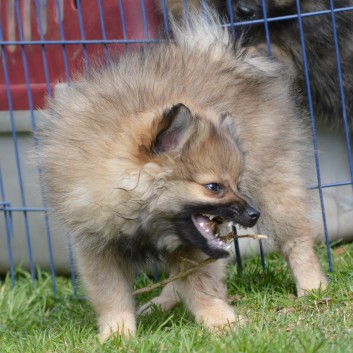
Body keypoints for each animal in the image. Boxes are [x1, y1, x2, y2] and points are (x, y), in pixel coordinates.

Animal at [37, 9, 326, 340]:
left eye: (236, 183)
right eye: (214, 186)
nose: (253, 214)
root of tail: (221, 55)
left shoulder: (195, 245)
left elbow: (203, 286)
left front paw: (221, 322)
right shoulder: (97, 247)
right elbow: (111, 294)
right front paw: (117, 333)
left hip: (276, 186)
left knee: (297, 240)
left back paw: (313, 288)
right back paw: (162, 303)